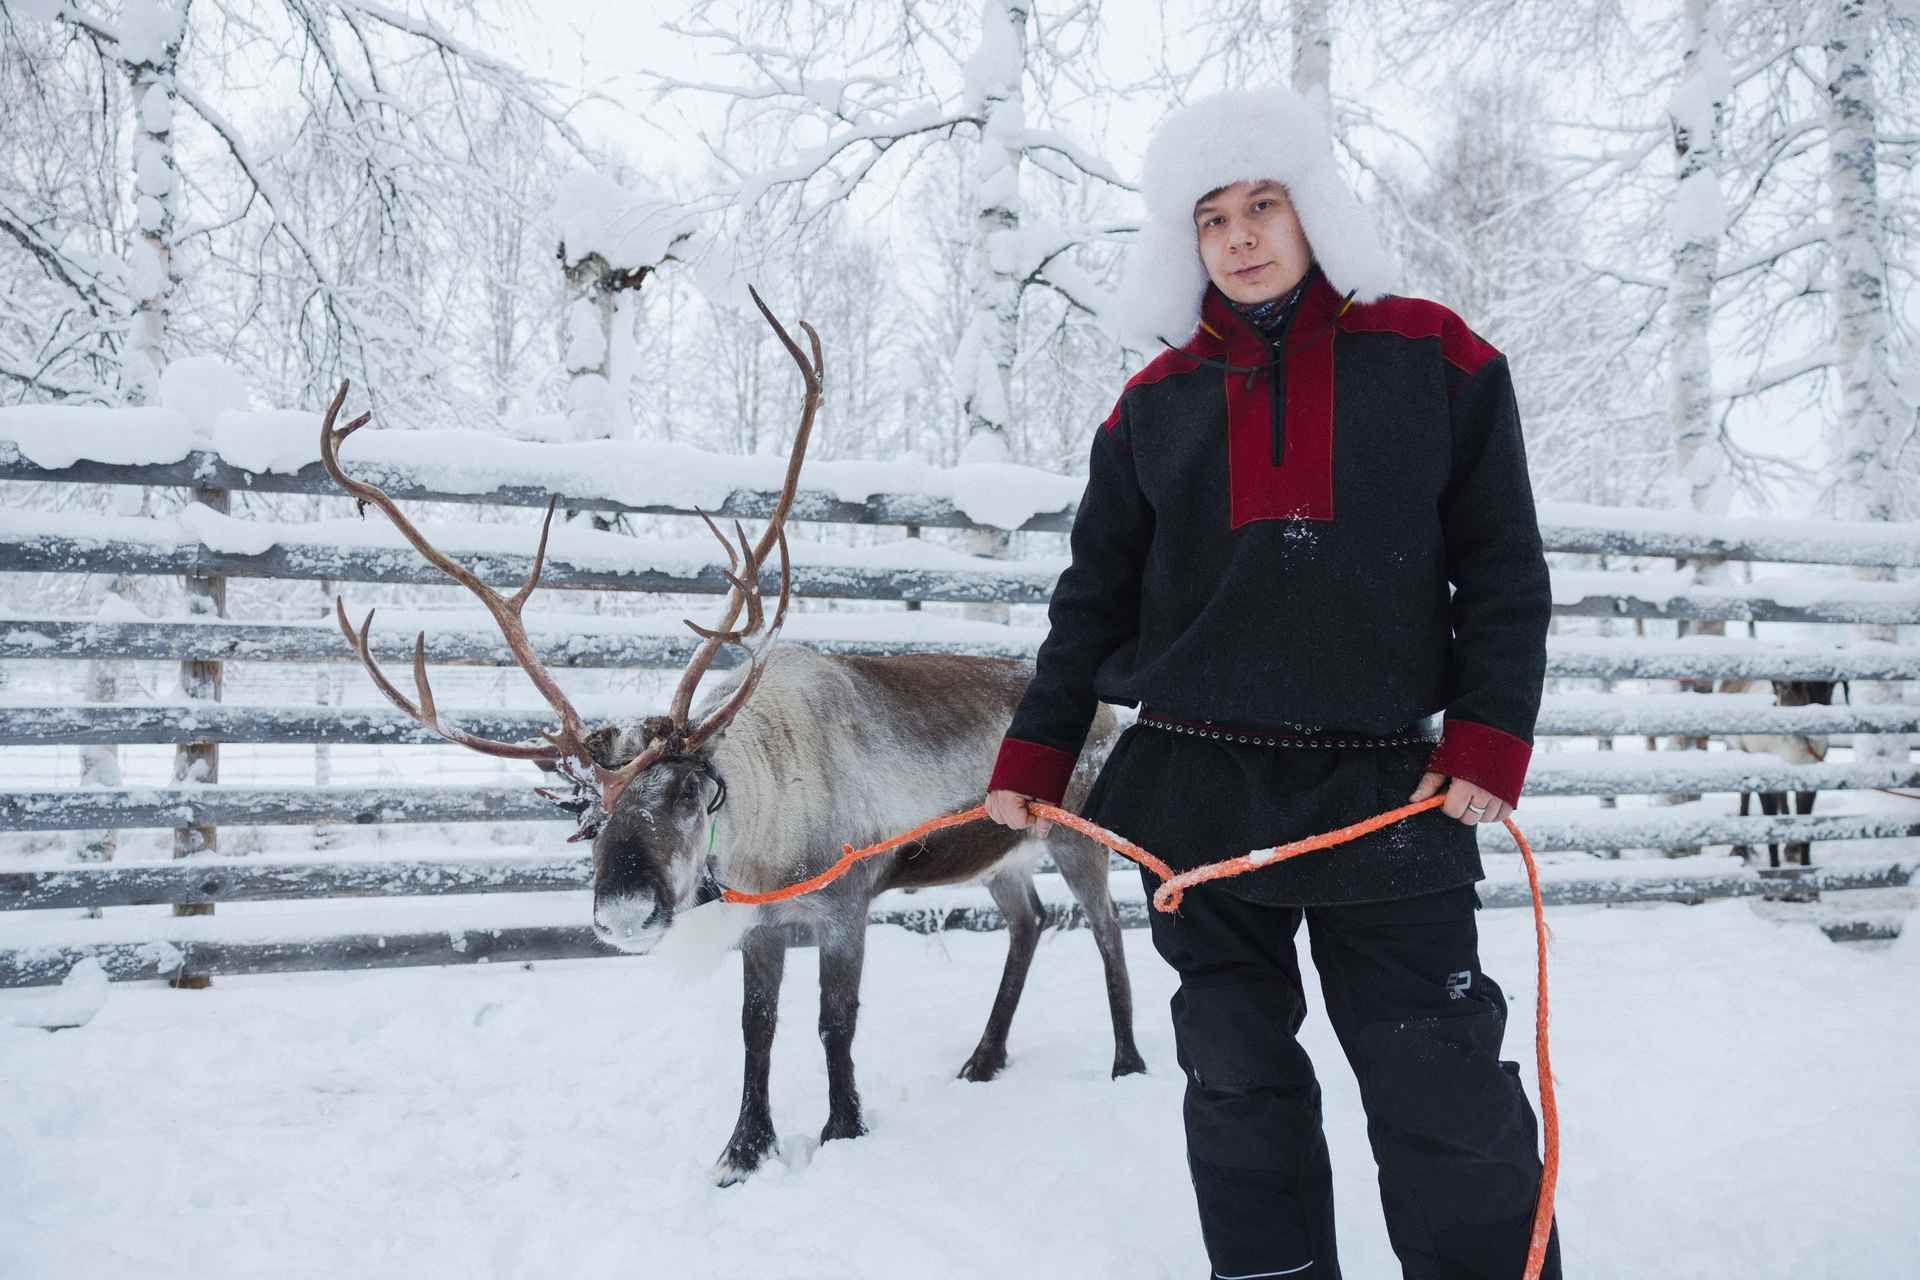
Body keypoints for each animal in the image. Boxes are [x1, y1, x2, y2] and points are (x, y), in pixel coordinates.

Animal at [317, 288, 1146, 1186]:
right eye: (589, 817)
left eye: (687, 791)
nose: (625, 914)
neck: (767, 836)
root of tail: (1109, 713)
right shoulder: (765, 925)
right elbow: (757, 1029)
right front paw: (743, 1151)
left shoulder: (845, 906)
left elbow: (835, 1023)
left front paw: (843, 1130)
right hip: (1001, 855)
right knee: (1030, 922)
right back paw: (984, 1058)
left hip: (1080, 838)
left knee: (1105, 931)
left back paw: (1128, 1063)